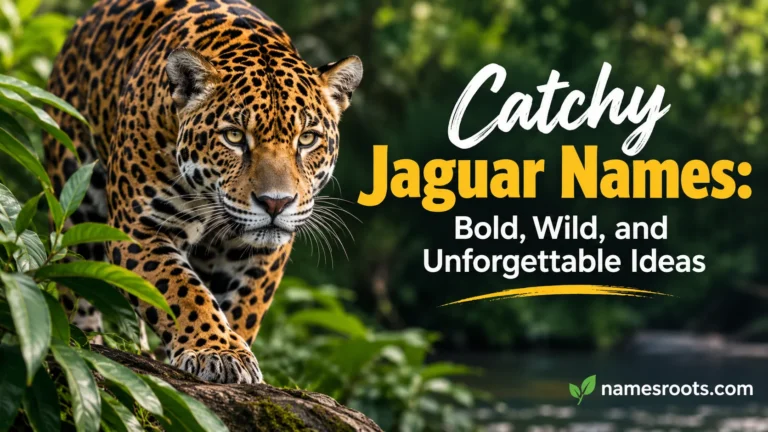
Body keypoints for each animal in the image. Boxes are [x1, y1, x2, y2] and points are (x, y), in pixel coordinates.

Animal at [43, 0, 362, 384]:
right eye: (235, 136)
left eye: (307, 139)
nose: (276, 203)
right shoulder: (140, 229)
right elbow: (183, 292)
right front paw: (219, 351)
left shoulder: (261, 253)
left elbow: (243, 306)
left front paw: (234, 349)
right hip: (74, 199)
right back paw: (90, 340)